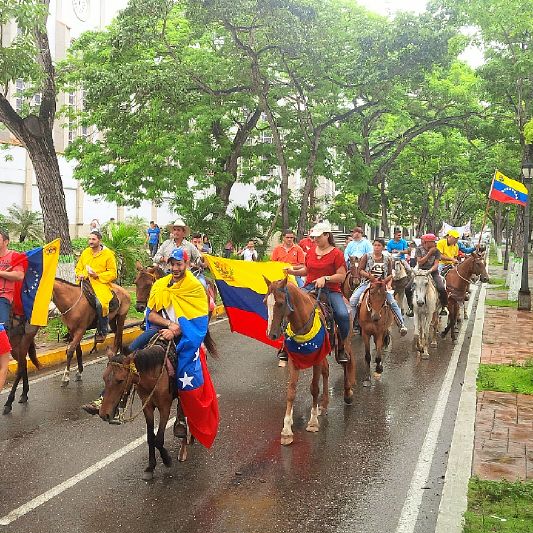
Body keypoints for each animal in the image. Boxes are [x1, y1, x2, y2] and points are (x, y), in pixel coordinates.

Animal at [262, 274, 354, 444]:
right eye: (265, 302)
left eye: (280, 303)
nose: (271, 334)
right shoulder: (294, 361)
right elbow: (291, 391)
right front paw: (286, 430)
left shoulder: (316, 360)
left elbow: (314, 388)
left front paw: (312, 422)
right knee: (326, 371)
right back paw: (323, 405)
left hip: (345, 342)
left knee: (346, 364)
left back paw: (347, 394)